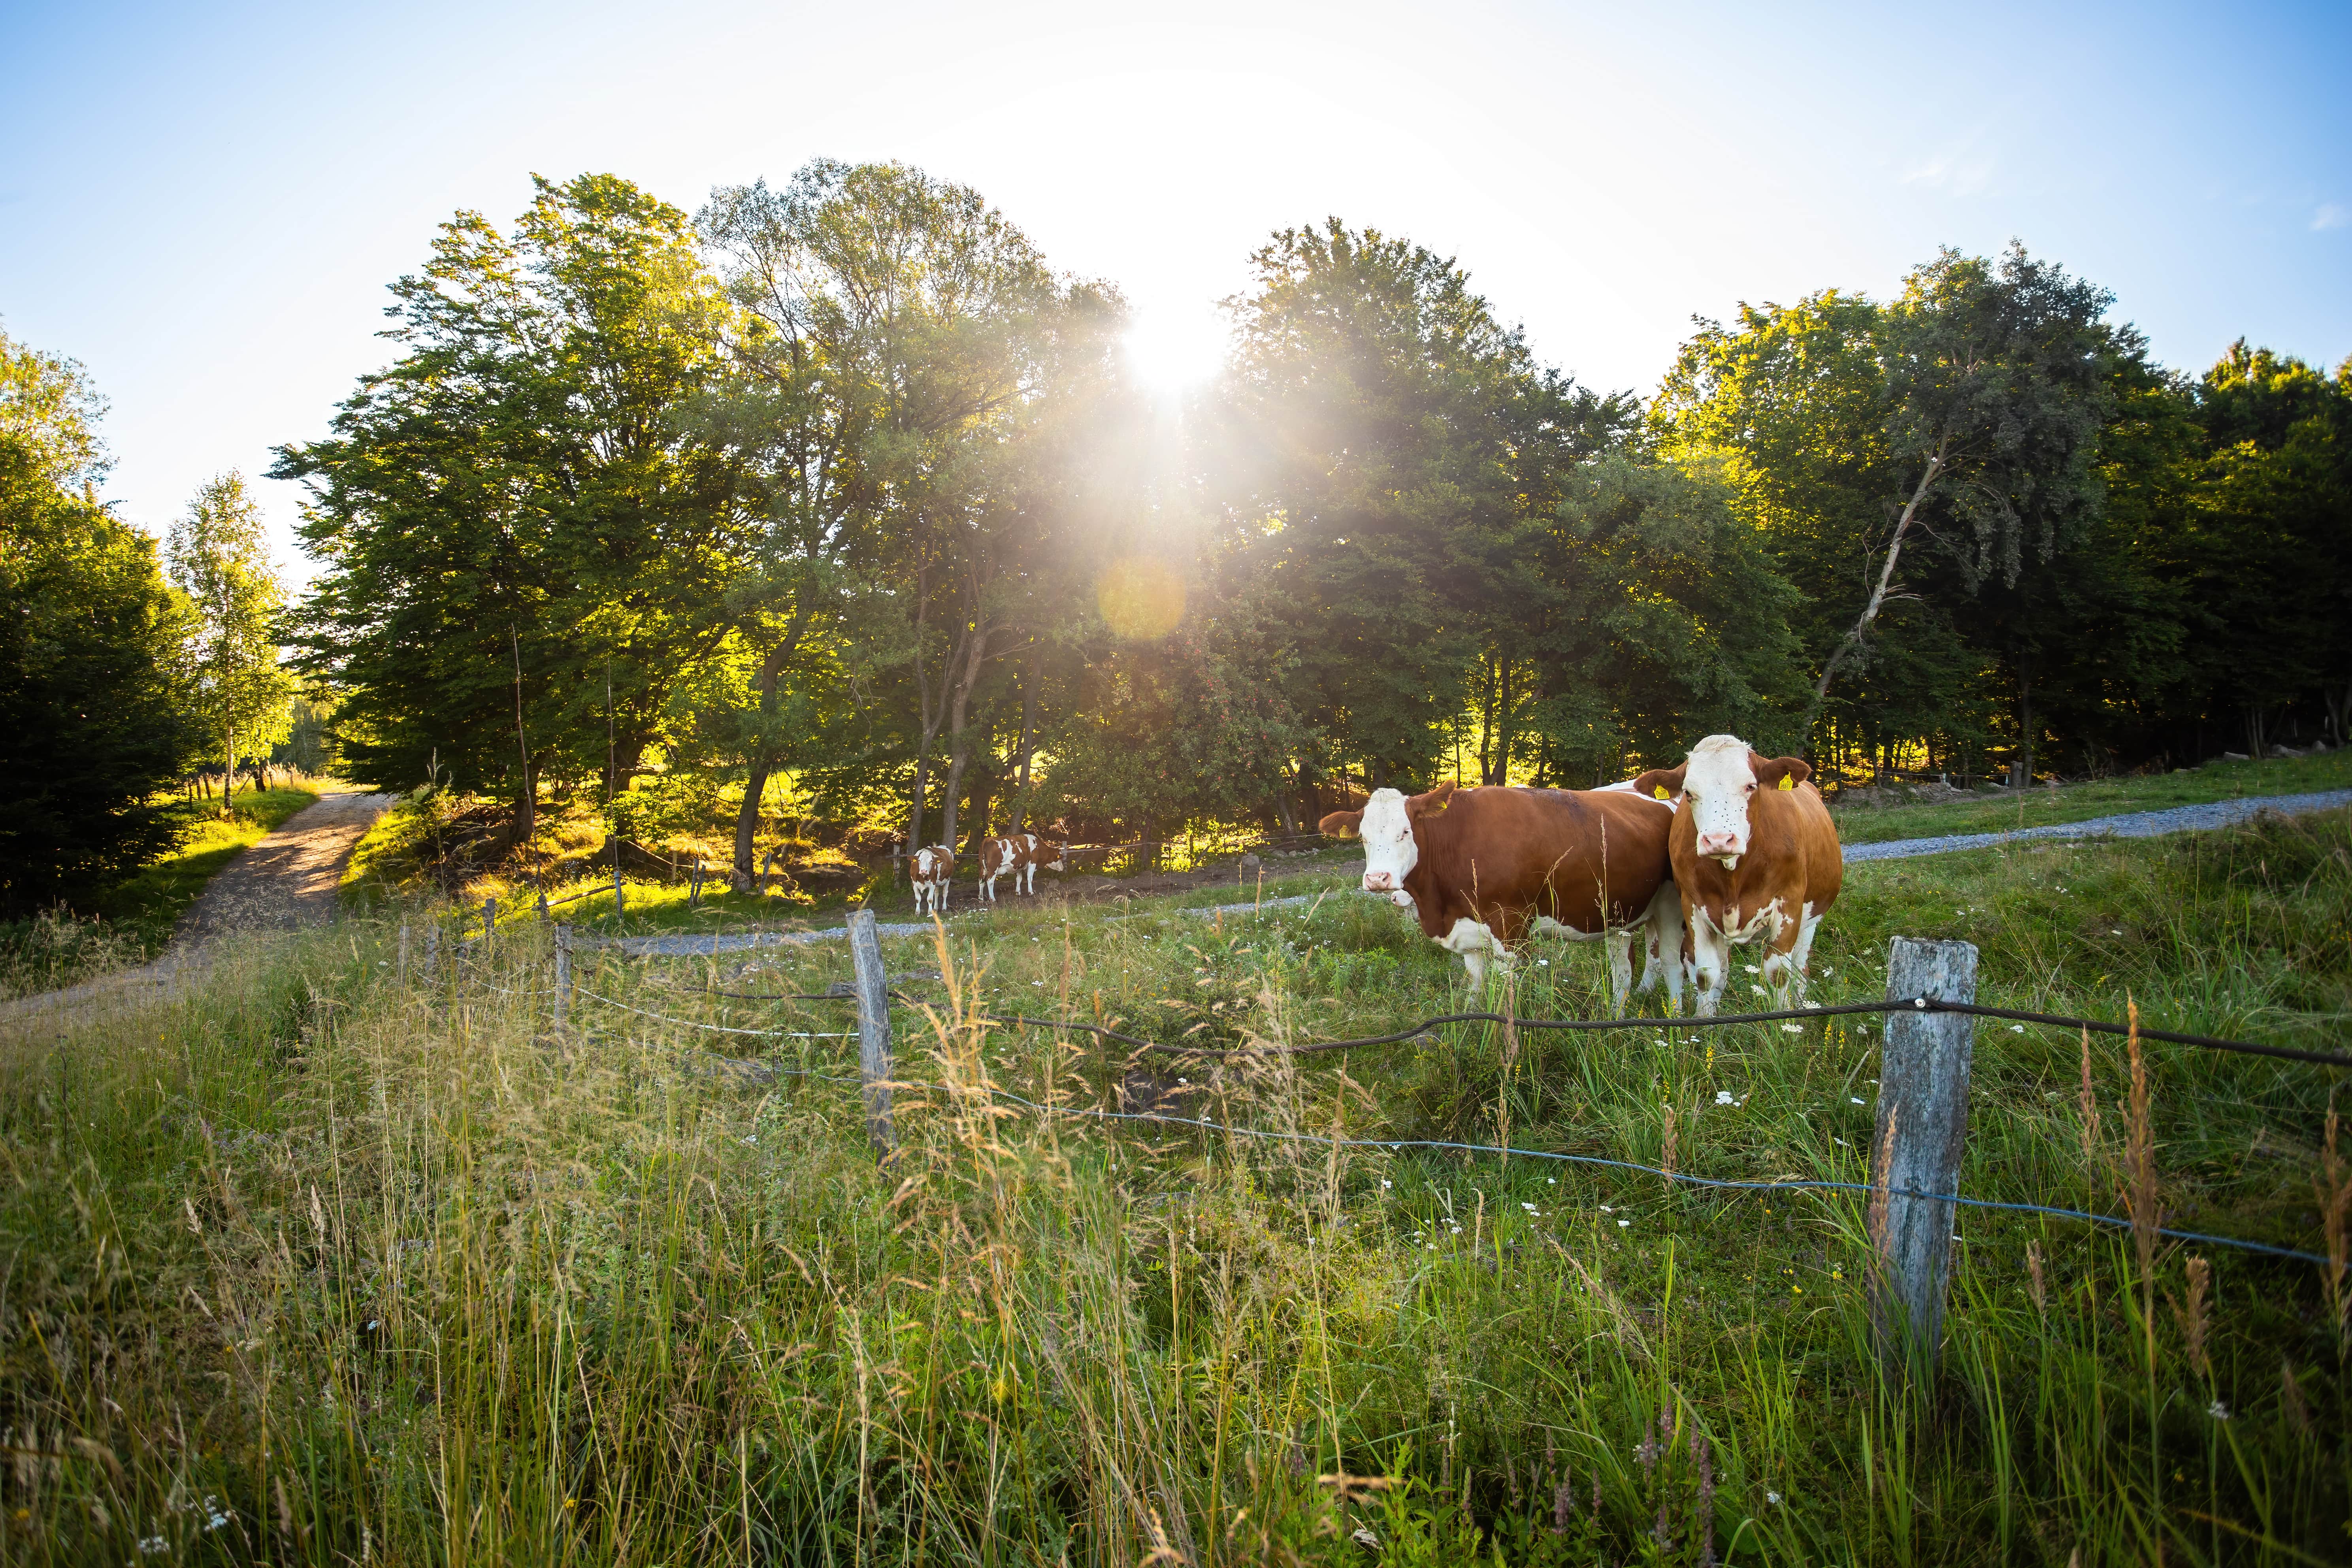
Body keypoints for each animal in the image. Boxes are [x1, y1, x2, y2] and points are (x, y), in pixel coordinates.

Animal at [912, 846, 959, 922]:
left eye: (931, 861)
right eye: (919, 860)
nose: (924, 871)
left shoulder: (932, 885)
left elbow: (930, 899)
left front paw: (929, 913)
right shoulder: (914, 885)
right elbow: (918, 899)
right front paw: (917, 913)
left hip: (948, 879)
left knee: (945, 893)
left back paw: (944, 909)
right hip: (937, 884)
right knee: (936, 894)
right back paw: (935, 909)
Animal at [1317, 780, 1684, 1011]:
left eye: (1406, 831)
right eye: (1362, 837)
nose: (1378, 879)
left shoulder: (1511, 931)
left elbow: (1508, 1000)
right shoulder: (1468, 934)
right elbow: (1476, 991)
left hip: (1671, 907)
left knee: (1671, 964)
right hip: (1622, 915)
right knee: (1624, 969)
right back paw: (1617, 1014)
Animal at [1627, 738, 1844, 1020]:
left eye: (1751, 786)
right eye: (1688, 793)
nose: (1719, 840)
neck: (1734, 875)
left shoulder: (1790, 906)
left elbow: (1779, 972)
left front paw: (1784, 1023)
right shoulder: (1694, 907)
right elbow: (1707, 974)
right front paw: (1705, 1020)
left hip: (1811, 918)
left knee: (1800, 966)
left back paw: (1800, 1003)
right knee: (1723, 969)